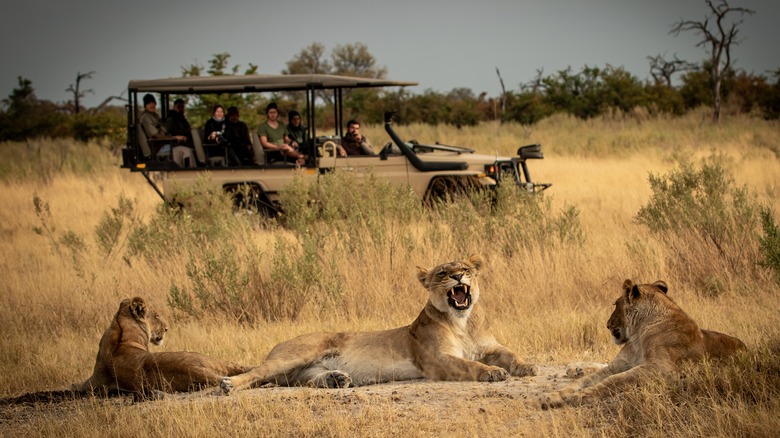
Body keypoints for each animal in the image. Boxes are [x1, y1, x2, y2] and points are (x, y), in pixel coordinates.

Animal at [219, 253, 536, 394]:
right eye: (443, 273)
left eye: (466, 269)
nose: (458, 277)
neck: (463, 322)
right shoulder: (436, 359)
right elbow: (470, 364)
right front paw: (493, 372)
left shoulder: (491, 346)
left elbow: (511, 354)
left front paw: (527, 366)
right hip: (294, 355)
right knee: (258, 373)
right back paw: (228, 385)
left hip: (304, 369)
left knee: (300, 380)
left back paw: (336, 379)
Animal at [540, 278, 748, 408]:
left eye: (615, 304)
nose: (607, 324)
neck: (638, 334)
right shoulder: (619, 364)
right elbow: (589, 379)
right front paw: (555, 395)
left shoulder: (660, 367)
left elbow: (614, 380)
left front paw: (578, 397)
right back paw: (576, 369)